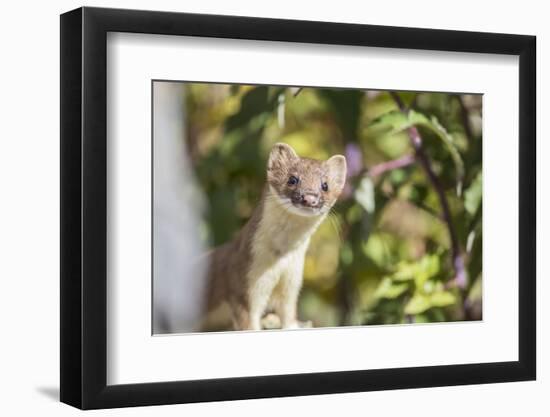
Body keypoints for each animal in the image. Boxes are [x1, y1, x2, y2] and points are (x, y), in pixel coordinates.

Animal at [205, 141, 348, 330]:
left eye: (325, 185)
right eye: (292, 179)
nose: (309, 198)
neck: (281, 258)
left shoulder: (292, 280)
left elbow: (288, 313)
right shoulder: (242, 282)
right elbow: (248, 320)